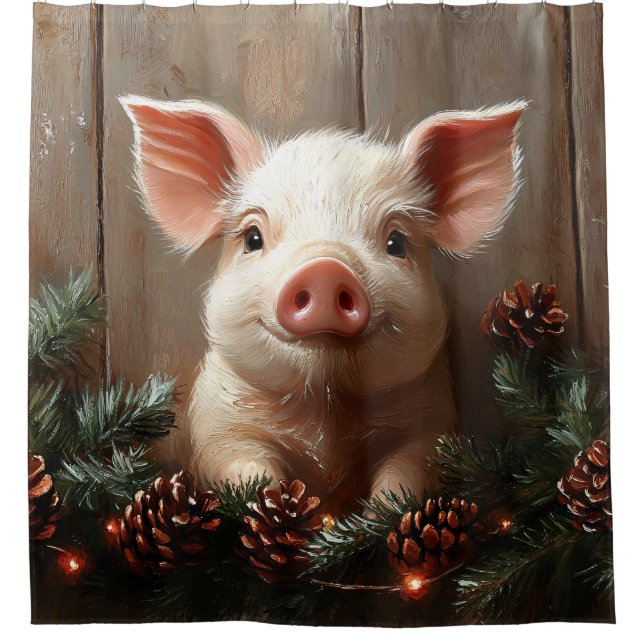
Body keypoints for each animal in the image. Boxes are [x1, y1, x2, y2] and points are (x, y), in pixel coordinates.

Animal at [120, 95, 526, 514]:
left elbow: (405, 475)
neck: (322, 410)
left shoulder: (429, 423)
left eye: (396, 242)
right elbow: (244, 467)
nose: (325, 269)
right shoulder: (218, 426)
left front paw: (374, 516)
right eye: (252, 238)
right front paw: (276, 504)